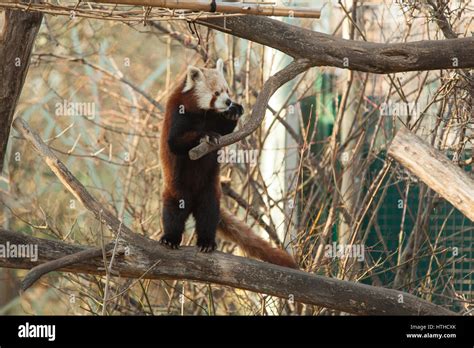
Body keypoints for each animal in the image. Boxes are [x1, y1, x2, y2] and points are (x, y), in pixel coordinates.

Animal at [161, 58, 298, 268]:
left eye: (227, 91)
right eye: (216, 93)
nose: (227, 102)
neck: (201, 112)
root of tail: (193, 201)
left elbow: (224, 130)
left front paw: (234, 112)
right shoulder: (178, 113)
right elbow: (175, 142)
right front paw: (205, 135)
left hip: (210, 190)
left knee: (208, 214)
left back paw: (207, 242)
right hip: (177, 188)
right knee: (174, 210)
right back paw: (170, 238)